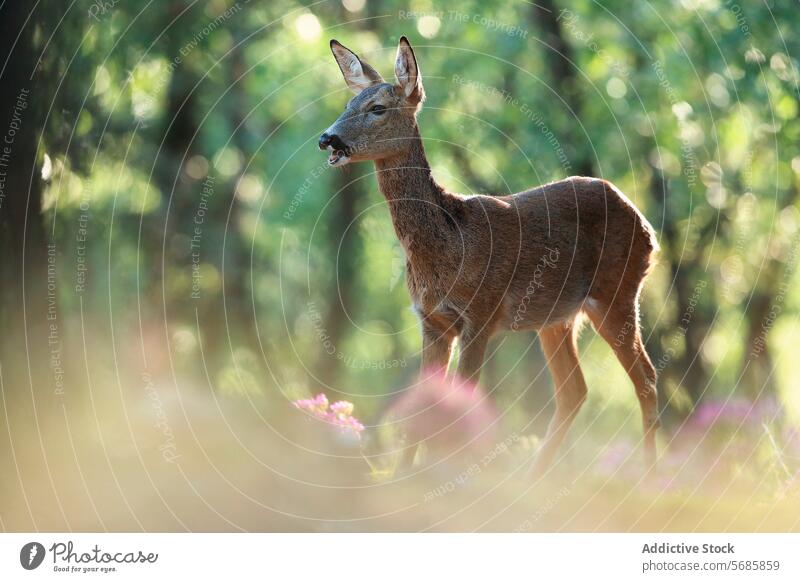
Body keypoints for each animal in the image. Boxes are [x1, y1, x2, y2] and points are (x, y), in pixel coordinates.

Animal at [320, 35, 664, 474]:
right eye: (349, 103)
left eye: (377, 108)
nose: (327, 138)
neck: (448, 242)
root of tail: (647, 227)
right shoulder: (431, 321)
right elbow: (423, 408)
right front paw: (406, 478)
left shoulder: (481, 313)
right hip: (556, 317)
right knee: (574, 389)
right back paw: (536, 476)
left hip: (616, 292)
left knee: (646, 378)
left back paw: (650, 475)